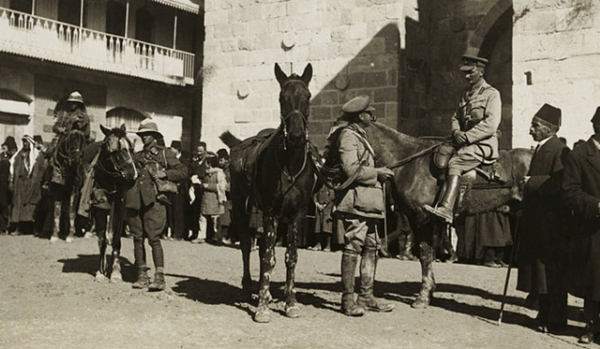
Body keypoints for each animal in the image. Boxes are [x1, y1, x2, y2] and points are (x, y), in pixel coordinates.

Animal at [78, 123, 137, 282]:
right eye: (113, 150)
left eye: (130, 148)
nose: (133, 175)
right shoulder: (100, 212)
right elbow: (103, 240)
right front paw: (100, 271)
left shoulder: (118, 211)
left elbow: (116, 240)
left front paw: (116, 273)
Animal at [219, 63, 314, 324]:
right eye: (282, 98)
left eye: (308, 97)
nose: (296, 135)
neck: (290, 164)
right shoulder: (272, 211)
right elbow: (268, 256)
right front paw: (261, 307)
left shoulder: (297, 214)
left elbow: (291, 257)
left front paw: (290, 302)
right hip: (242, 207)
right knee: (246, 245)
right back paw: (248, 286)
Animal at [364, 121, 532, 308]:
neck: (410, 162)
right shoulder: (416, 219)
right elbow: (426, 251)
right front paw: (429, 290)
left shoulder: (423, 219)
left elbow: (425, 252)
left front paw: (423, 296)